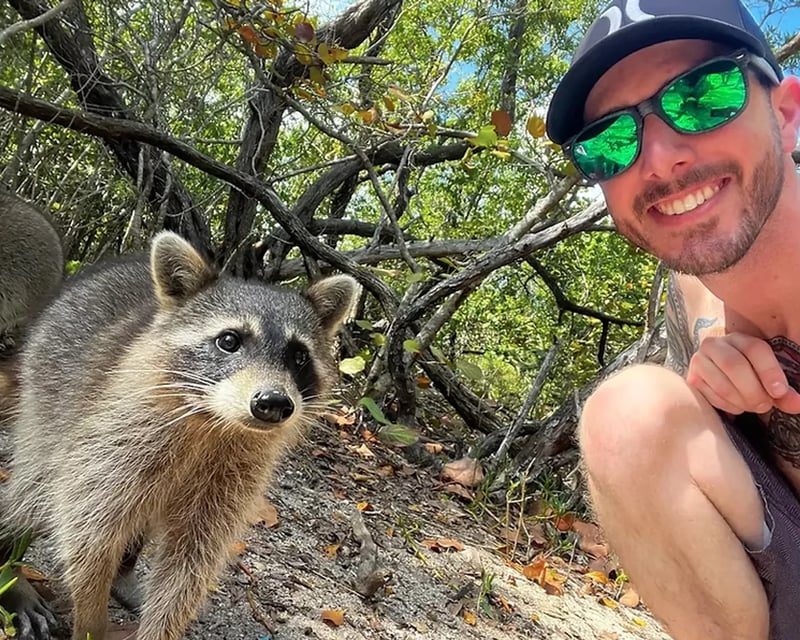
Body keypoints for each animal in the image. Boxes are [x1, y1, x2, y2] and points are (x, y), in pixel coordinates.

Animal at [3, 231, 359, 640]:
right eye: (229, 341)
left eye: (299, 356)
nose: (272, 402)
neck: (216, 423)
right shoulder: (116, 437)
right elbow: (88, 534)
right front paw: (91, 620)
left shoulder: (233, 480)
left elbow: (190, 564)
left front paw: (160, 626)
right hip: (49, 396)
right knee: (32, 494)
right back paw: (10, 568)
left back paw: (123, 574)